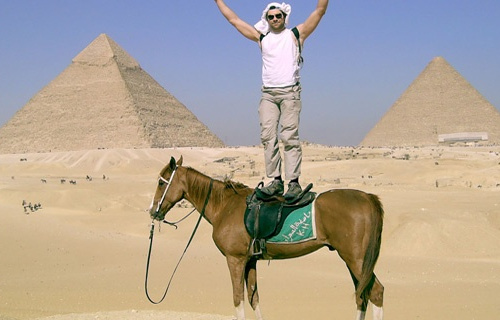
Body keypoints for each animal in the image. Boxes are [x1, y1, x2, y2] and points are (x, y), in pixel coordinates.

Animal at [147, 158, 382, 320]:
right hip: (355, 261)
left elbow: (238, 300)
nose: (152, 211)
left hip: (356, 259)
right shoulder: (250, 261)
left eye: (161, 183)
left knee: (375, 292)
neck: (225, 205)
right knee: (362, 296)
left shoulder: (235, 259)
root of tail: (367, 197)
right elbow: (254, 298)